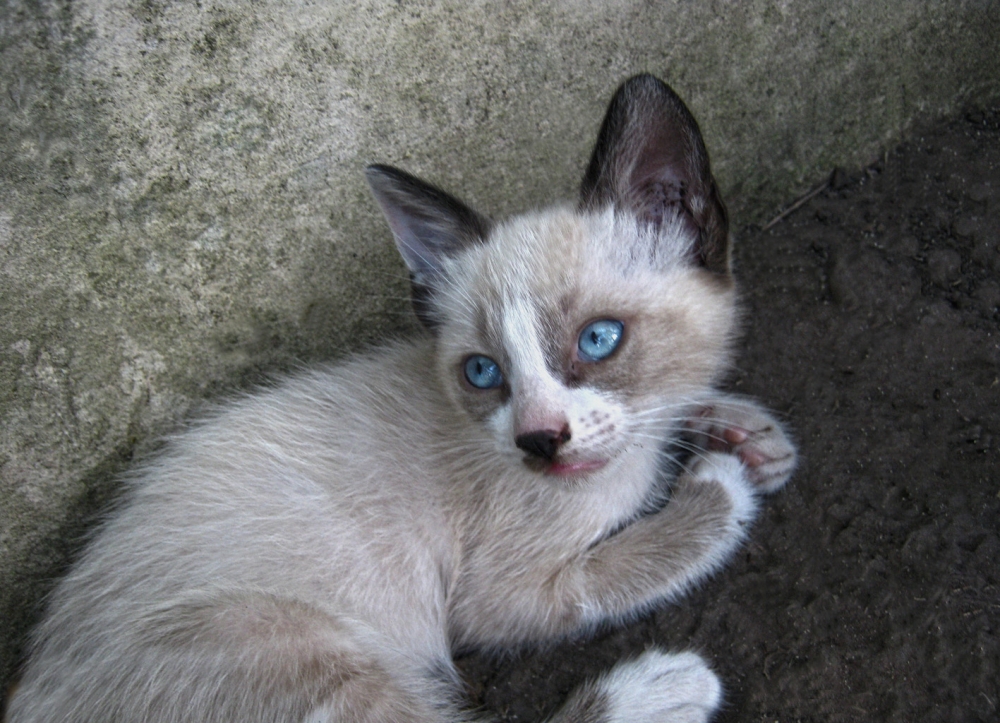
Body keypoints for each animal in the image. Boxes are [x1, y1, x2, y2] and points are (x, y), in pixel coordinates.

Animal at [3, 75, 792, 723]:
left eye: (597, 340)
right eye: (484, 373)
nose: (538, 439)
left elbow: (684, 402)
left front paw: (747, 433)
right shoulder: (502, 595)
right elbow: (626, 567)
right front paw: (718, 485)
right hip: (293, 644)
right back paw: (657, 689)